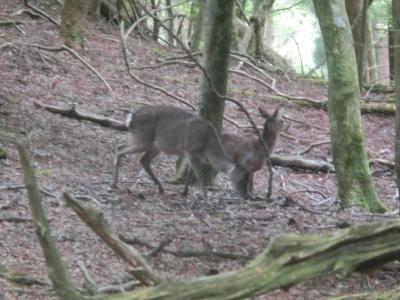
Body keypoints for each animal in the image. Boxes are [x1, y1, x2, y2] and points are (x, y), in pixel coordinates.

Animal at [110, 105, 250, 202]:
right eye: (242, 177)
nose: (247, 196)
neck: (207, 145)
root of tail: (131, 118)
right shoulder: (190, 150)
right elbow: (198, 174)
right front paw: (205, 198)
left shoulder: (196, 155)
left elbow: (190, 173)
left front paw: (185, 193)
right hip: (142, 139)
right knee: (120, 148)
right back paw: (114, 184)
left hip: (156, 146)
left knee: (143, 160)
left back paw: (160, 188)